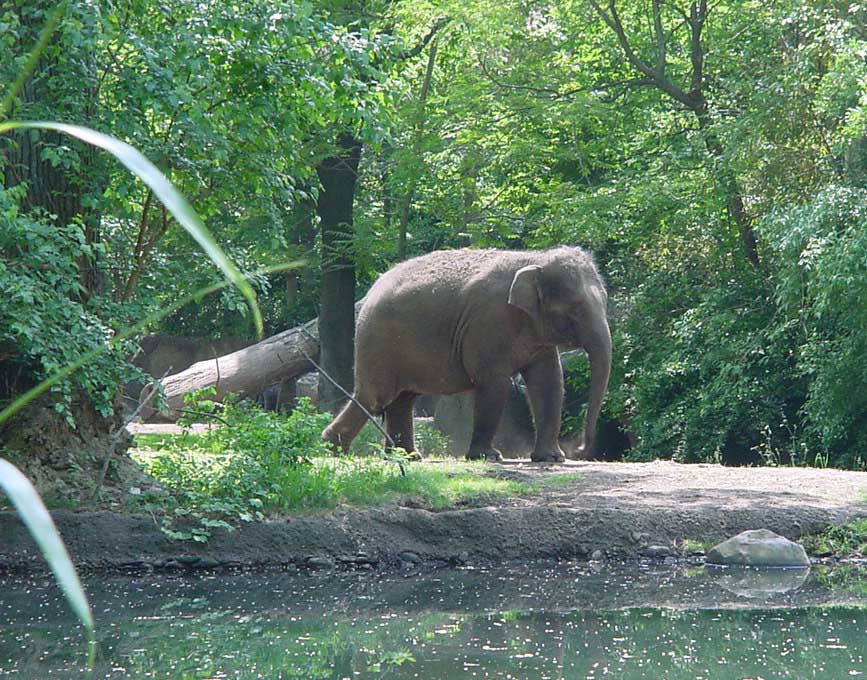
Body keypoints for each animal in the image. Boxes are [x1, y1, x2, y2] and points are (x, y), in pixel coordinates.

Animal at [322, 246, 612, 462]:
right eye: (575, 308)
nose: (581, 449)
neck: (534, 259)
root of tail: (371, 291)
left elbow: (549, 381)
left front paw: (551, 458)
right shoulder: (488, 321)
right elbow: (494, 382)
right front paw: (488, 456)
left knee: (402, 399)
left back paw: (408, 457)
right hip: (378, 341)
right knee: (375, 397)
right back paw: (331, 450)